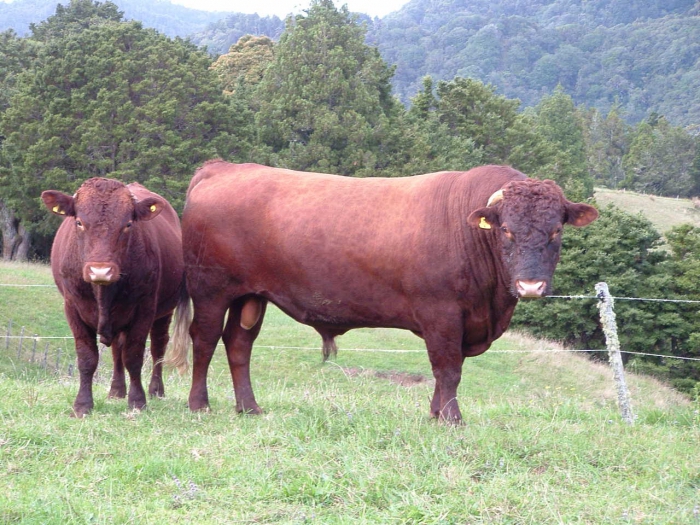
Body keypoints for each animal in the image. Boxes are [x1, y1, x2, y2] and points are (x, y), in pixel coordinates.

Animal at [42, 178, 187, 416]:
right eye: (79, 222)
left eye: (128, 224)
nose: (100, 271)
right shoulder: (72, 308)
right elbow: (87, 358)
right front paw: (82, 405)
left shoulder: (144, 309)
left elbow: (134, 356)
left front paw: (137, 401)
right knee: (118, 348)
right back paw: (116, 390)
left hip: (164, 311)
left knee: (158, 346)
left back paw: (156, 390)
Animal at [168, 160, 596, 422]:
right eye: (506, 230)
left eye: (556, 231)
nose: (530, 285)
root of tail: (223, 168)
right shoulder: (441, 313)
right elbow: (448, 368)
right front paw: (451, 418)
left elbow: (447, 370)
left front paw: (435, 414)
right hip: (211, 289)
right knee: (204, 339)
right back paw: (199, 404)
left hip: (251, 295)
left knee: (239, 344)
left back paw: (249, 407)